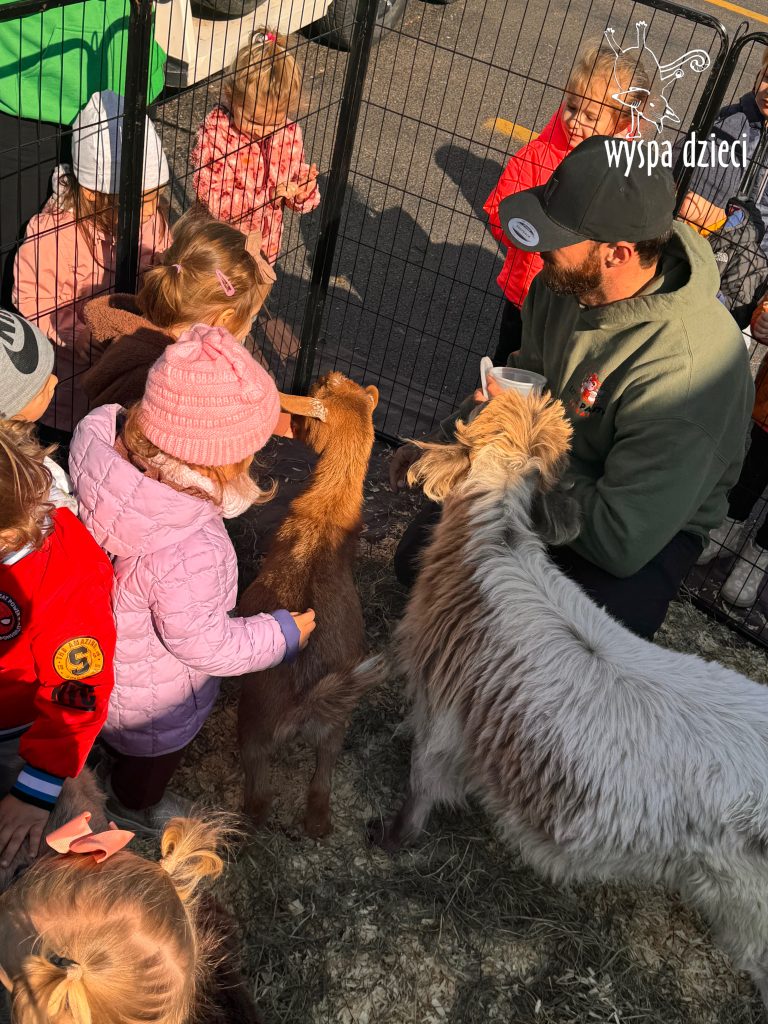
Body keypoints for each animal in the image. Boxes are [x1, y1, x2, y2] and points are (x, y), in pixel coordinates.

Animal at [238, 372, 382, 838]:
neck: (327, 509)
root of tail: (306, 698)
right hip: (336, 723)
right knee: (322, 781)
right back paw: (317, 824)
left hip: (256, 719)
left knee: (260, 792)